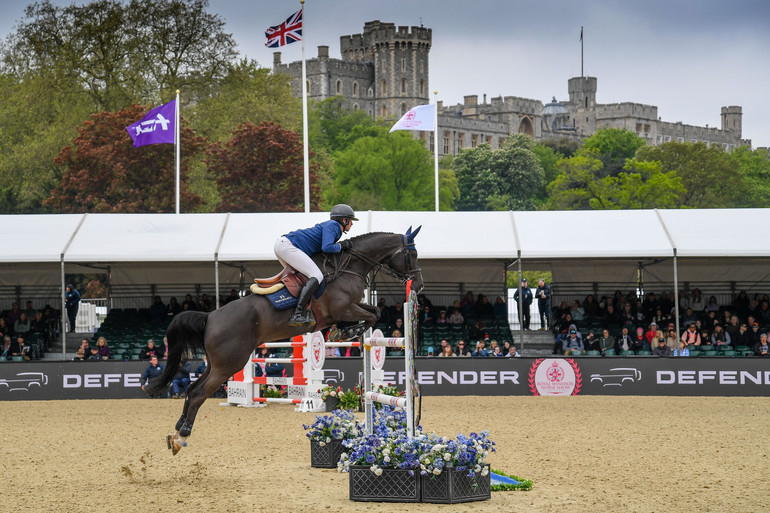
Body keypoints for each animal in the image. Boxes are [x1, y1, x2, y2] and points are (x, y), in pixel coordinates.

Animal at [147, 226, 424, 454]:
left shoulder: (351, 307)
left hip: (218, 364)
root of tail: (210, 316)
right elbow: (373, 315)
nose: (419, 285)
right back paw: (182, 436)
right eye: (412, 254)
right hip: (230, 364)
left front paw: (342, 332)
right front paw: (345, 332)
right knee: (198, 393)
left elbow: (374, 312)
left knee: (192, 389)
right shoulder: (344, 308)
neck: (350, 266)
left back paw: (176, 433)